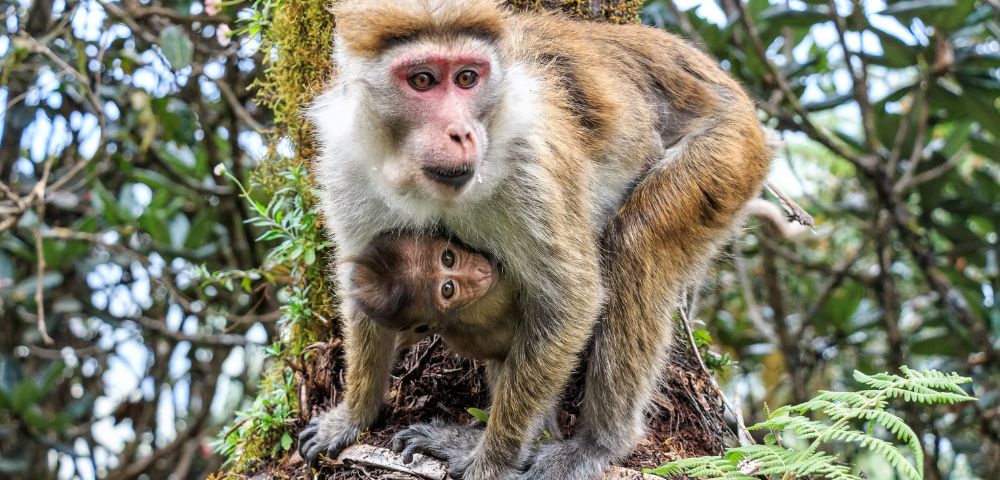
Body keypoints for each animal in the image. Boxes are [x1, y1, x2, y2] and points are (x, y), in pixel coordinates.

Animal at [298, 1, 772, 479]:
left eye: (467, 78)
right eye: (422, 80)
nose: (461, 133)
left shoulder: (531, 164)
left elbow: (571, 302)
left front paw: (492, 463)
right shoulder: (347, 165)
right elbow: (362, 287)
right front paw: (353, 413)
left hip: (728, 153)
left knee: (636, 242)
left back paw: (597, 442)